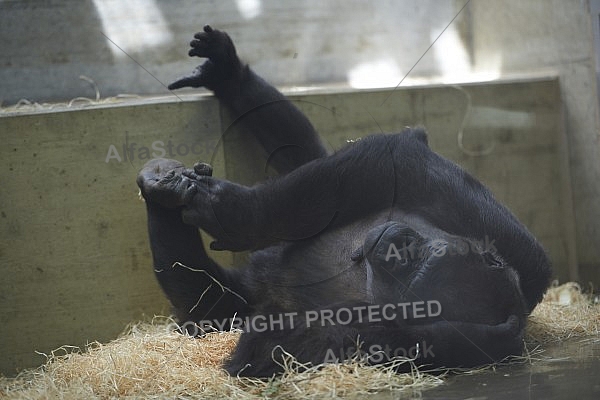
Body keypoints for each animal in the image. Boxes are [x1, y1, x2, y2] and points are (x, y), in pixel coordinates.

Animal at [138, 25, 552, 378]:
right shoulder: (493, 227)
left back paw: (162, 201)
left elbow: (277, 348)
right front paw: (239, 214)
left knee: (207, 300)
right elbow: (390, 159)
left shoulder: (447, 335)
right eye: (426, 253)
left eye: (414, 277)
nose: (398, 244)